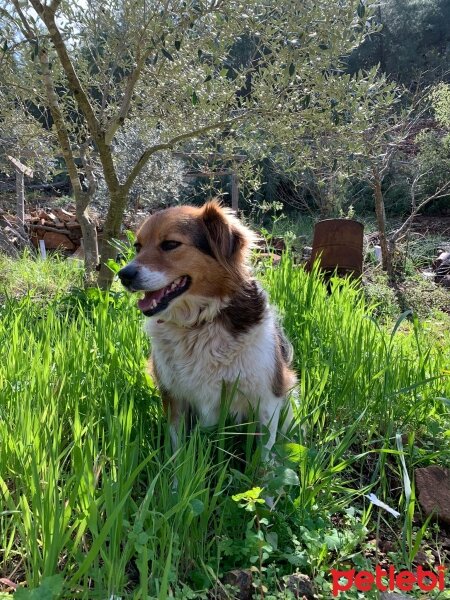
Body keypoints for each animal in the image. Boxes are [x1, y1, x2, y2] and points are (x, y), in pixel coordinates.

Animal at [118, 202, 298, 454]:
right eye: (138, 246)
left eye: (170, 244)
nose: (123, 275)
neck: (198, 324)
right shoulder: (174, 396)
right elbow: (177, 450)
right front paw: (176, 466)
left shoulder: (266, 400)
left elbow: (264, 456)